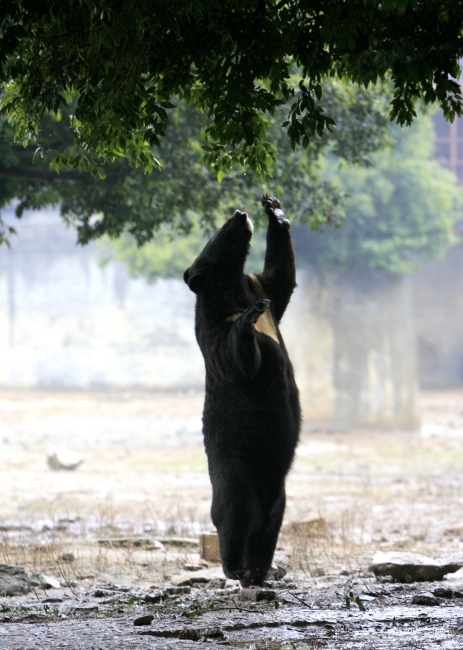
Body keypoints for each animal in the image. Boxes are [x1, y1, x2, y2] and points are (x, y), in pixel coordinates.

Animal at [185, 195, 300, 584]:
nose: (239, 214)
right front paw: (250, 318)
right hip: (235, 470)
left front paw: (275, 211)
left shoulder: (257, 285)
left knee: (269, 527)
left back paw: (260, 568)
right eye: (221, 231)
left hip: (278, 494)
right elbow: (241, 361)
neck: (232, 288)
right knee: (233, 514)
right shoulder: (216, 329)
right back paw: (236, 566)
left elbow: (281, 280)